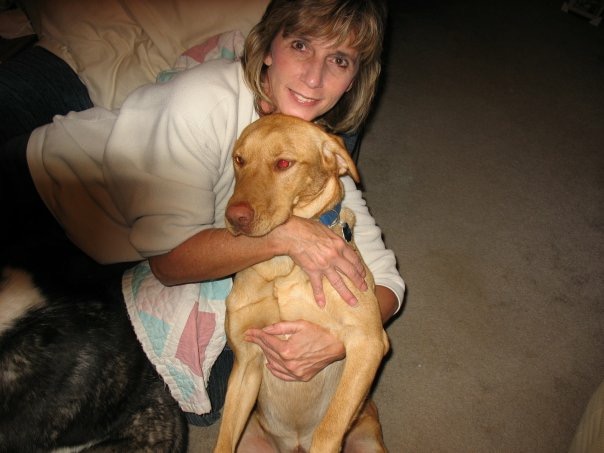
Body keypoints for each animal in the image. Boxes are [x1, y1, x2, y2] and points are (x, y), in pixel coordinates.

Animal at [214, 114, 390, 452]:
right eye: (239, 160)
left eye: (283, 163)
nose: (234, 216)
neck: (283, 265)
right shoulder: (246, 362)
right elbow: (224, 439)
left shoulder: (368, 342)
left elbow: (328, 429)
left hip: (368, 438)